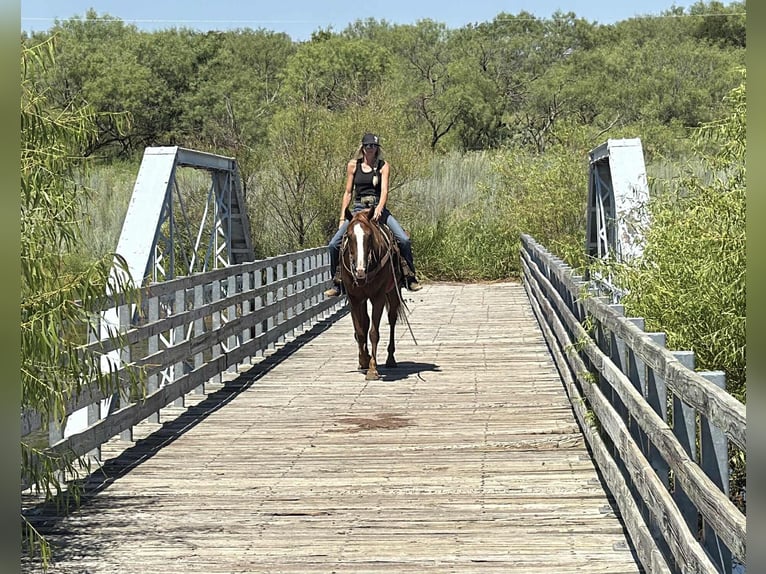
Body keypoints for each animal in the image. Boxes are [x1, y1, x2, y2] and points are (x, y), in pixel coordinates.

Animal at [339, 208, 406, 380]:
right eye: (349, 236)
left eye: (369, 236)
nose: (360, 271)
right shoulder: (354, 298)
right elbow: (360, 332)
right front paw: (363, 361)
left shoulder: (378, 297)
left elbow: (373, 333)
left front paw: (372, 369)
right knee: (365, 322)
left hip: (393, 292)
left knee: (392, 319)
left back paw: (390, 359)